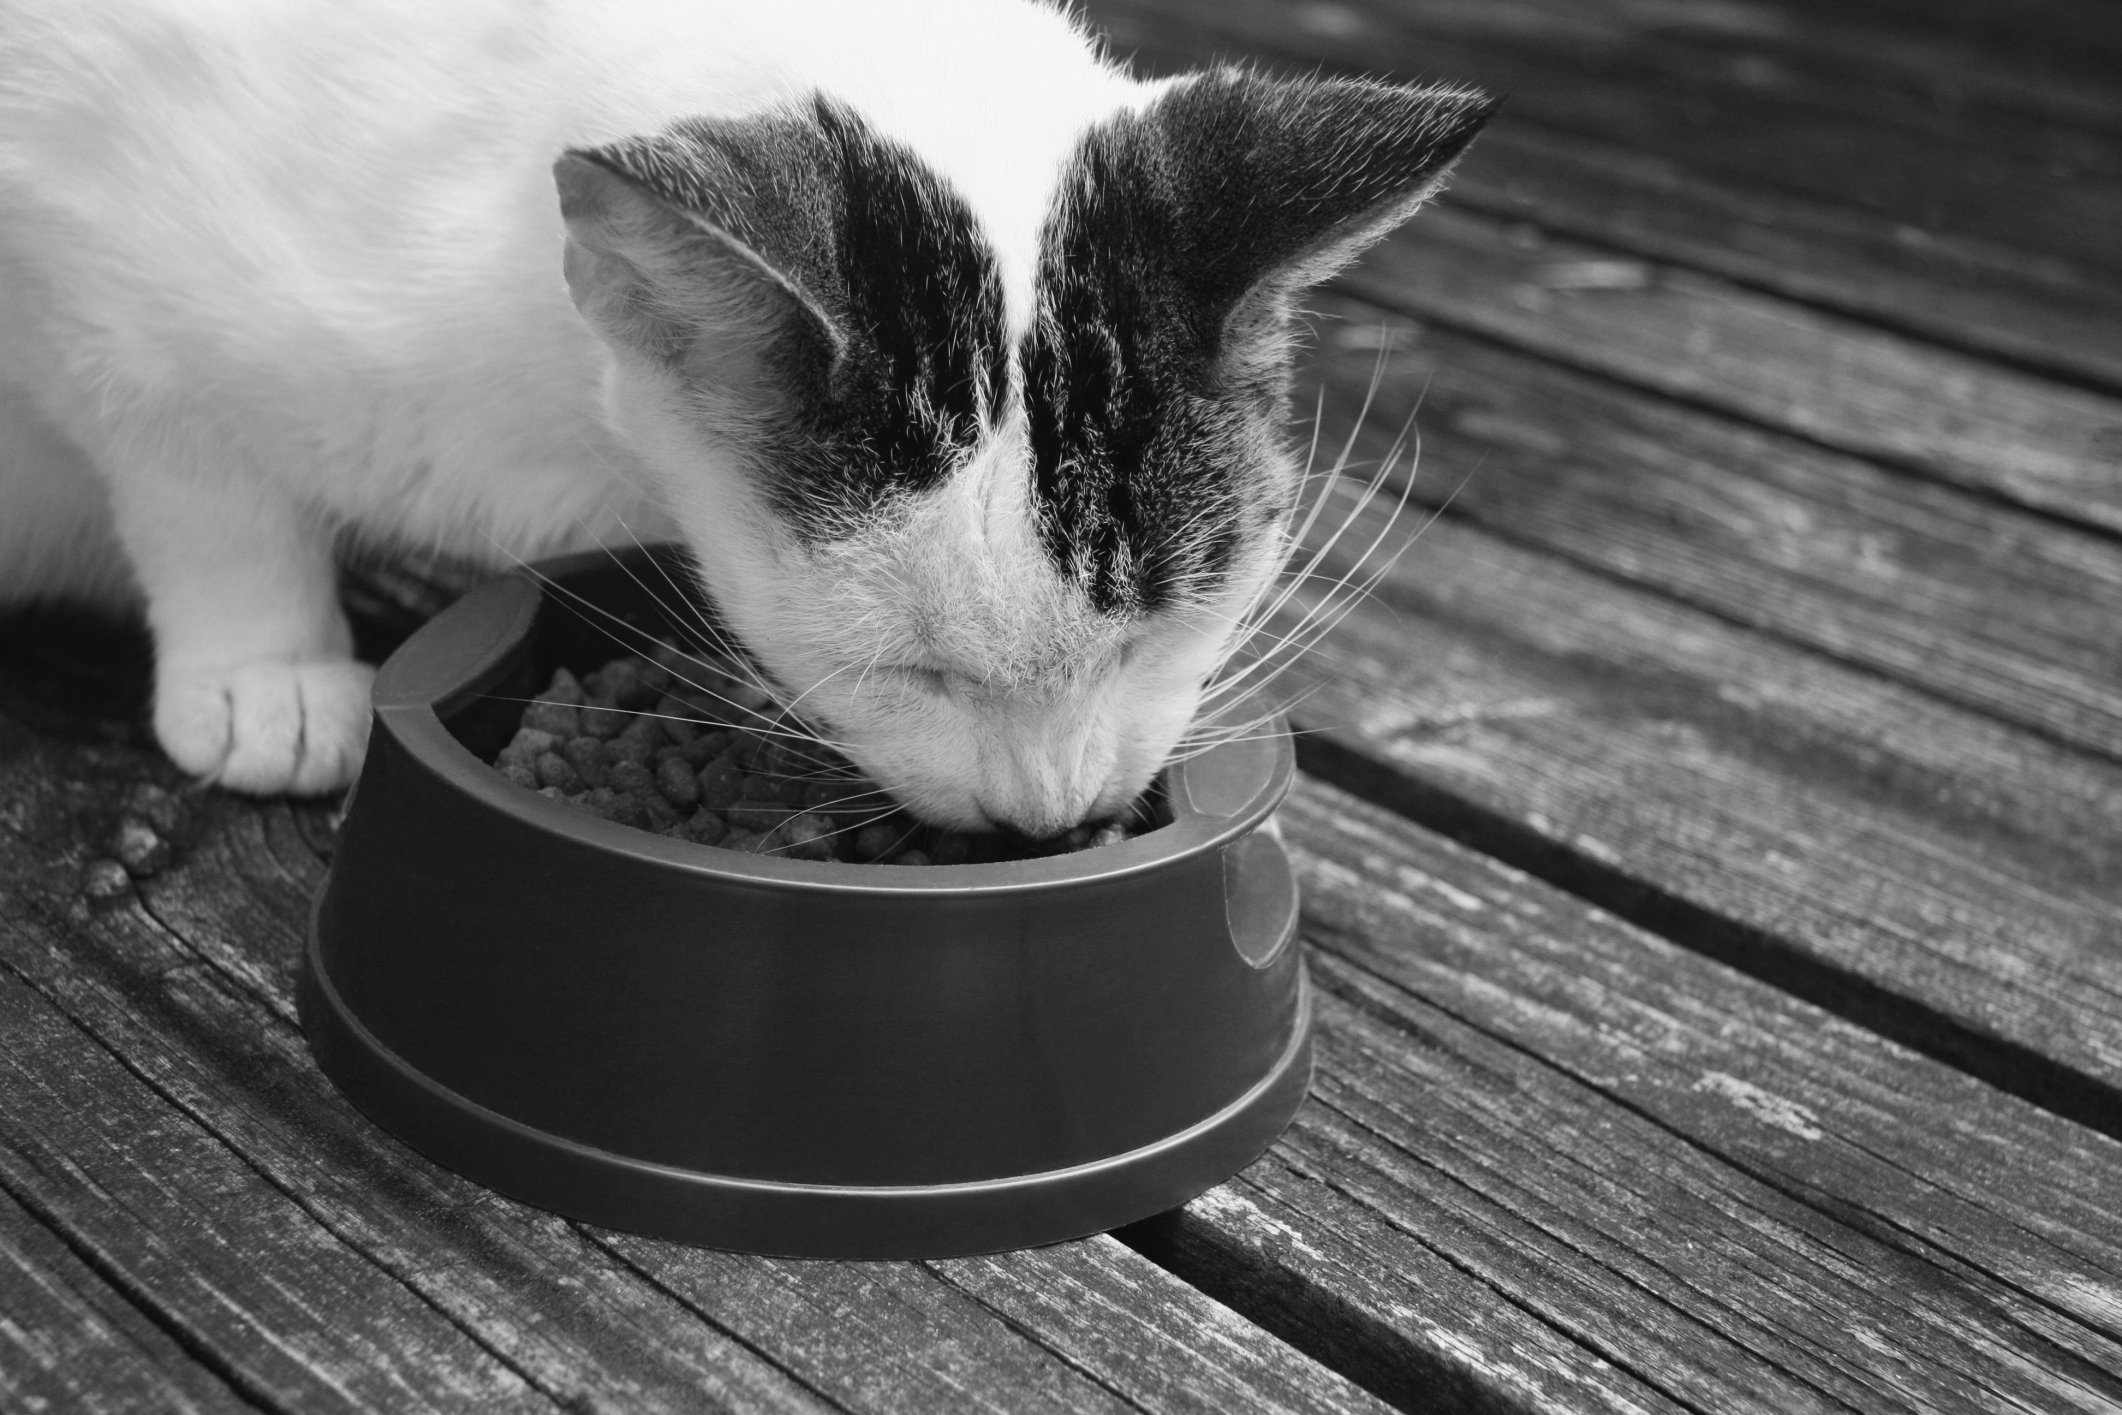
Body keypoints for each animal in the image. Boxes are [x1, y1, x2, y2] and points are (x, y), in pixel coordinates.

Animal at [0, 0, 1485, 840]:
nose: (1047, 817)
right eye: (906, 671)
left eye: (1164, 633)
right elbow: (195, 476)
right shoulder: (94, 260)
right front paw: (266, 668)